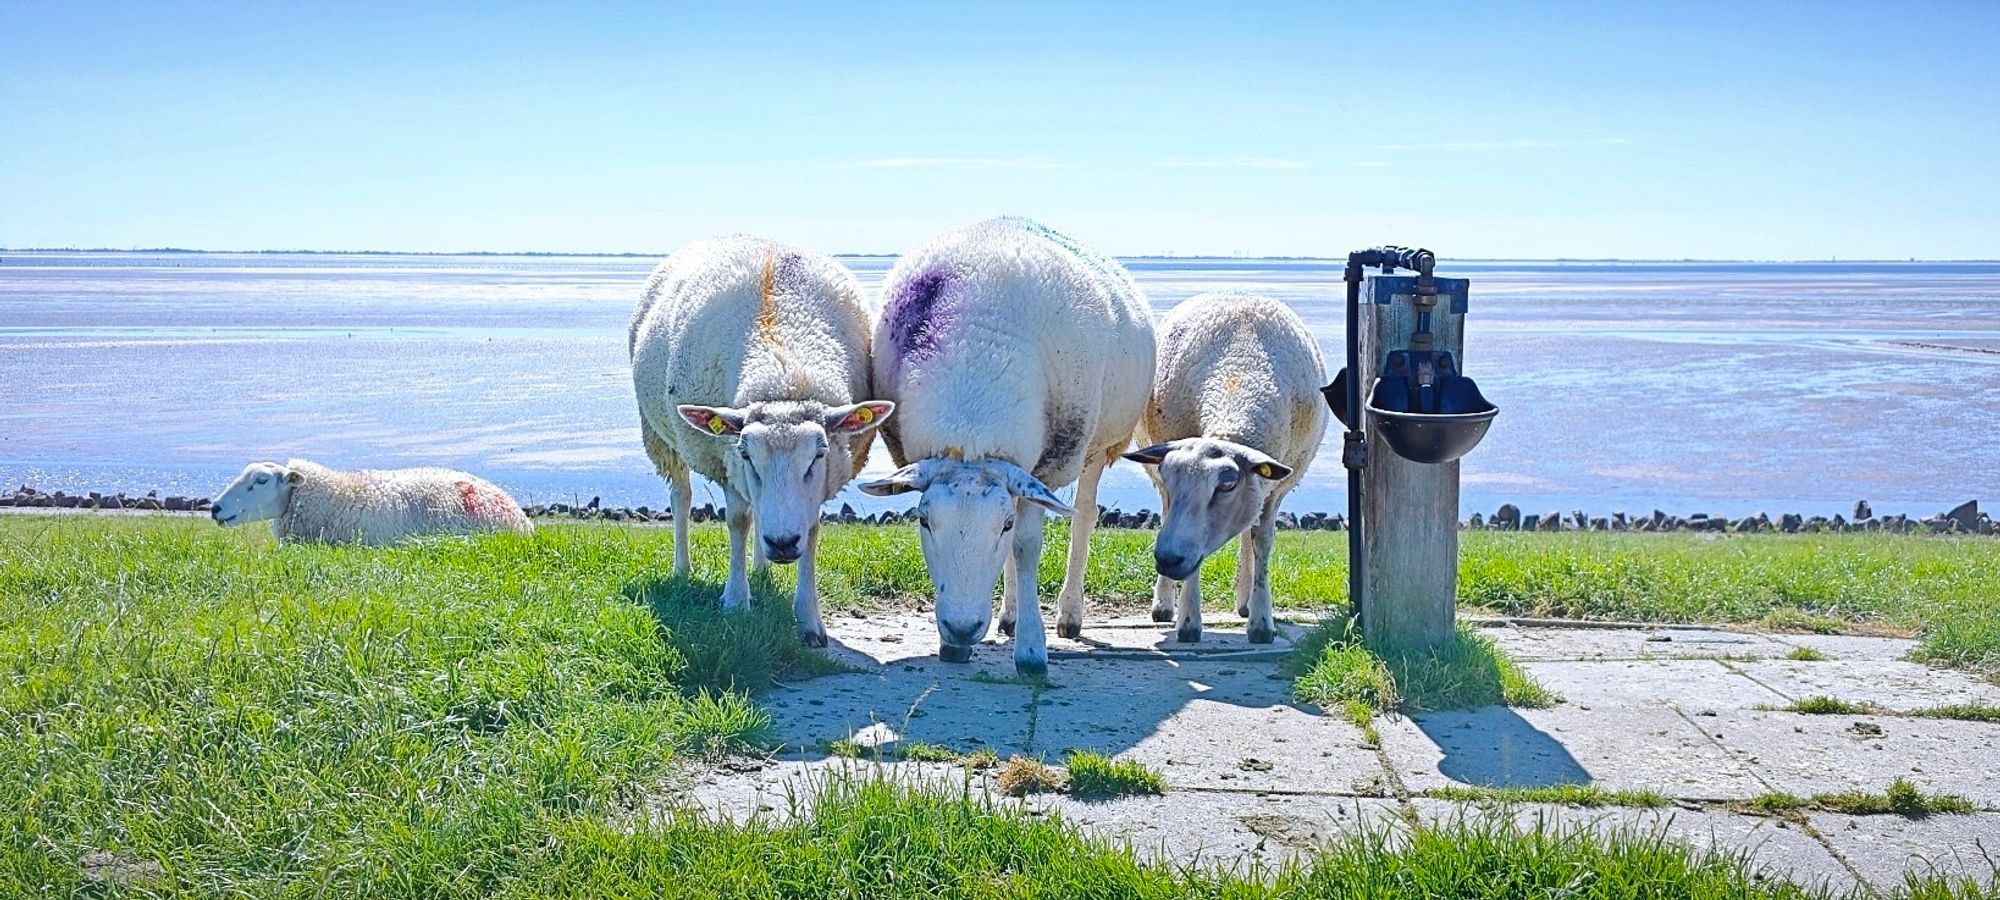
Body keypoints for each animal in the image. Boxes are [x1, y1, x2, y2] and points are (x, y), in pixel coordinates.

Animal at [628, 232, 896, 640]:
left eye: (818, 455)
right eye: (746, 454)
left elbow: (811, 532)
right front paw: (736, 601)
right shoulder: (726, 461)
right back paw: (683, 570)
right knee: (682, 498)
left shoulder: (819, 482)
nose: (782, 543)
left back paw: (762, 570)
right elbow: (738, 521)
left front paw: (809, 618)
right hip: (661, 437)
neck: (782, 368)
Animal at [860, 216, 1160, 676]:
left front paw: (1032, 651)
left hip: (1095, 445)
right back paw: (1009, 616)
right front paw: (957, 645)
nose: (962, 627)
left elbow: (1025, 546)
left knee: (1084, 518)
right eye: (924, 521)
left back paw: (1068, 614)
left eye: (999, 526)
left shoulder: (1048, 468)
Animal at [1128, 296, 1328, 648]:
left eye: (1227, 485)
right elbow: (1191, 552)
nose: (1167, 559)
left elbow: (1262, 541)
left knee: (1249, 533)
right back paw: (1164, 605)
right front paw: (1189, 622)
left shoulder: (1273, 489)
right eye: (1170, 477)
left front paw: (1261, 623)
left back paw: (1245, 602)